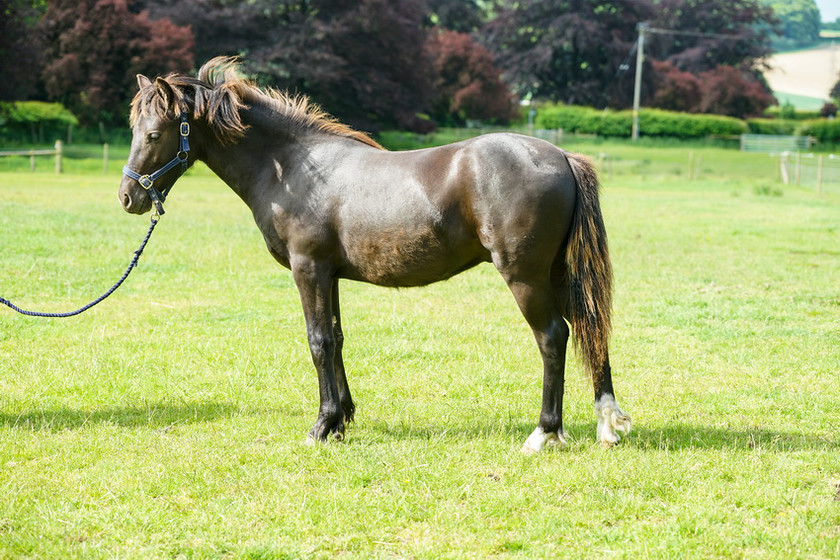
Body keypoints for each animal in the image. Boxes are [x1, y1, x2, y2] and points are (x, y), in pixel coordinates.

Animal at [118, 58, 632, 450]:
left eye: (155, 134)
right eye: (134, 129)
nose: (129, 197)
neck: (292, 168)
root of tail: (561, 156)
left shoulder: (308, 269)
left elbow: (318, 342)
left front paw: (322, 426)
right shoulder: (330, 275)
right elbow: (337, 339)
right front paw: (342, 419)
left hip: (525, 275)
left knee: (553, 337)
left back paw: (544, 433)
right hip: (559, 273)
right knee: (591, 330)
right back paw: (607, 425)